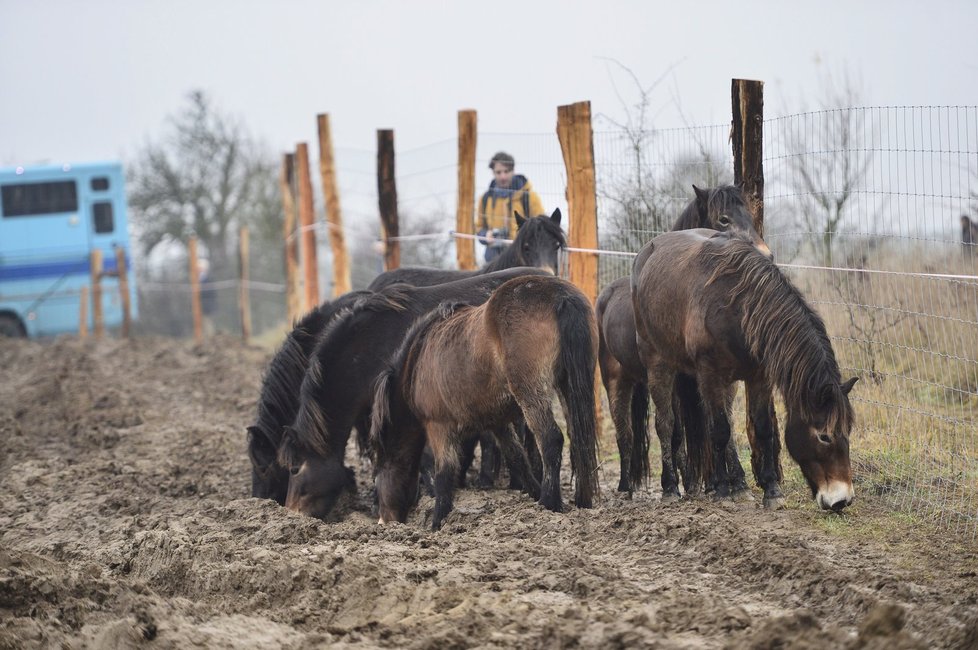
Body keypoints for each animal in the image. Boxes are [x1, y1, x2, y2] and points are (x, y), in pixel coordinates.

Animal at [370, 276, 600, 528]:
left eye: (377, 479)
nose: (383, 520)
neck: (420, 357)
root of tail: (561, 296)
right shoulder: (497, 423)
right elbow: (517, 458)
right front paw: (533, 491)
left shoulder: (438, 426)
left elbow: (443, 472)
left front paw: (438, 522)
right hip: (568, 386)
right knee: (578, 441)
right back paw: (581, 502)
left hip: (531, 393)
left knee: (551, 439)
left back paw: (549, 503)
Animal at [596, 182, 772, 496]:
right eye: (723, 219)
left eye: (751, 217)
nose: (765, 254)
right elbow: (678, 430)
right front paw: (692, 482)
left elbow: (718, 423)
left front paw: (732, 481)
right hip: (617, 381)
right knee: (625, 433)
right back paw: (628, 485)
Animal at [632, 230, 856, 508]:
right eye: (824, 436)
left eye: (848, 430)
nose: (842, 500)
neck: (737, 307)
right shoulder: (709, 374)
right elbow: (718, 430)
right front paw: (720, 490)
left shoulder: (759, 376)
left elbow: (761, 428)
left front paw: (771, 490)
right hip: (658, 363)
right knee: (666, 424)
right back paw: (671, 488)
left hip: (728, 381)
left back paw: (739, 485)